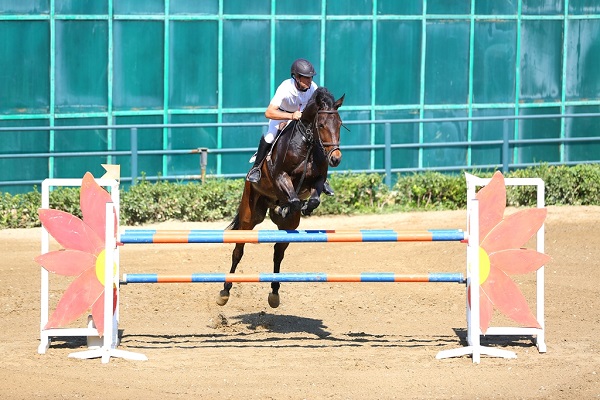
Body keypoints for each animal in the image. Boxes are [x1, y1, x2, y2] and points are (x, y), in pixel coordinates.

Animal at [218, 86, 344, 306]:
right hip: (249, 216)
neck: (307, 143)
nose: (336, 158)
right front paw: (291, 204)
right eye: (321, 124)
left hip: (289, 226)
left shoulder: (318, 180)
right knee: (238, 251)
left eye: (339, 124)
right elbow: (292, 197)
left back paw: (274, 292)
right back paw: (224, 291)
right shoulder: (280, 176)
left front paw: (303, 206)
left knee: (278, 252)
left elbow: (313, 198)